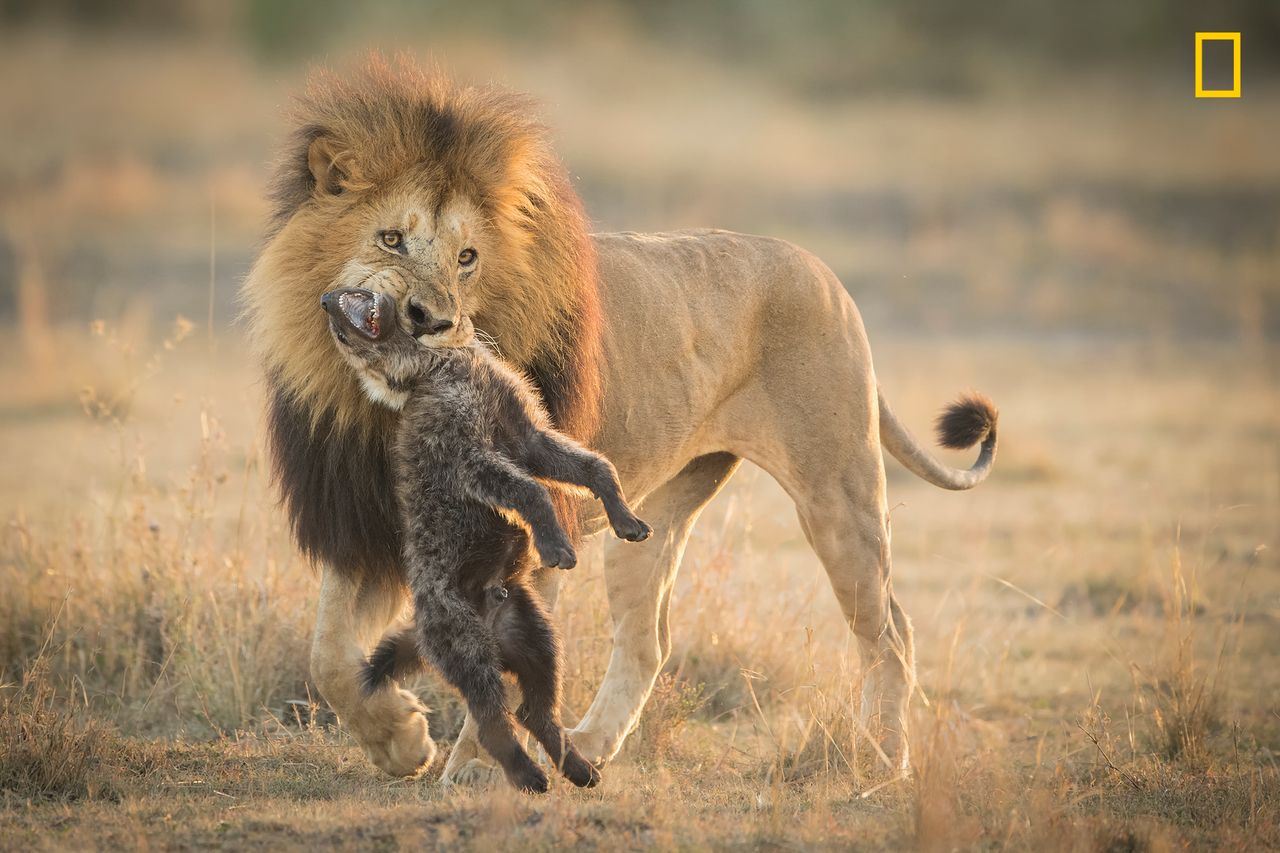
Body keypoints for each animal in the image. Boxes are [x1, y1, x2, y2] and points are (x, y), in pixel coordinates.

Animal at [241, 56, 998, 778]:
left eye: (468, 257)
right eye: (392, 239)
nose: (435, 321)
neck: (387, 406)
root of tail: (826, 272)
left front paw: (473, 764)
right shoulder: (364, 519)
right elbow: (328, 657)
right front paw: (402, 744)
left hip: (837, 491)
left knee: (890, 632)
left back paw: (881, 760)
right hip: (658, 511)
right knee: (647, 639)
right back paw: (591, 745)